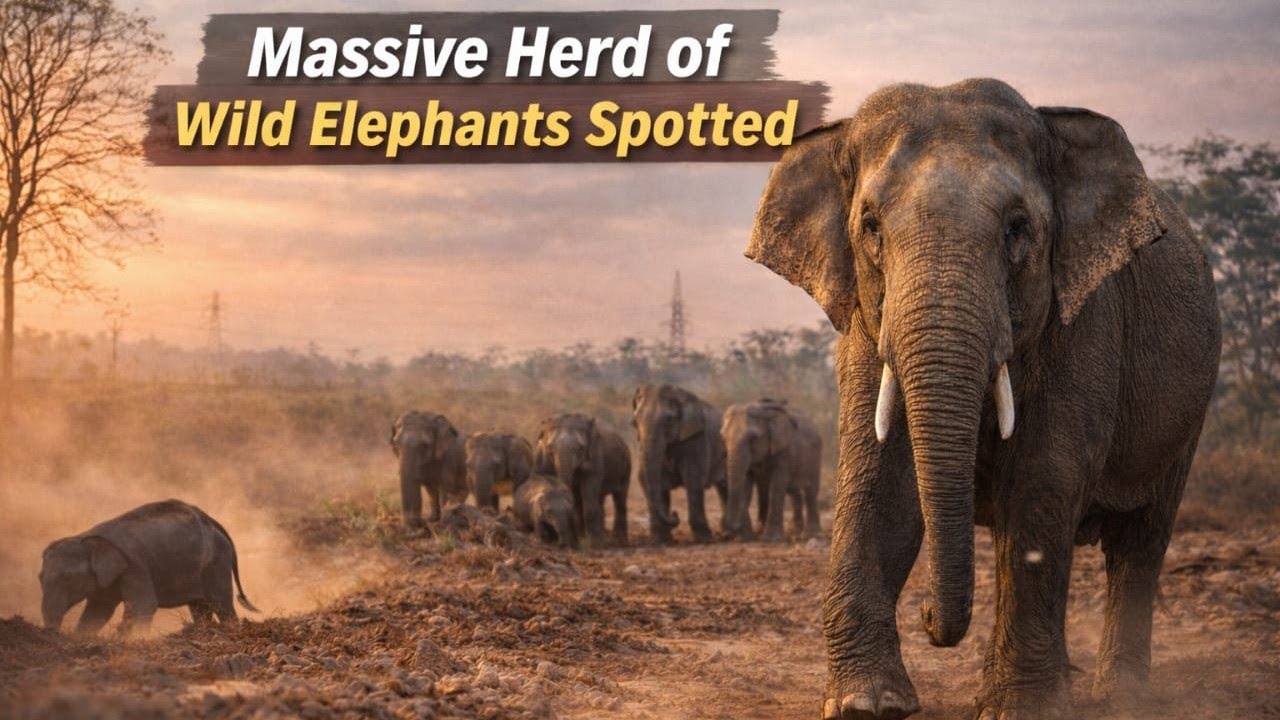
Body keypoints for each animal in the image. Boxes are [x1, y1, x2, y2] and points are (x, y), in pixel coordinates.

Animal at [39, 500, 258, 636]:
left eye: (67, 578)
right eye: (40, 578)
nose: (52, 633)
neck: (87, 537)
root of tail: (215, 523)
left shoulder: (135, 566)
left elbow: (143, 606)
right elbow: (98, 611)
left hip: (216, 563)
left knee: (221, 604)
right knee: (199, 607)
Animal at [533, 413, 631, 547]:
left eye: (580, 448)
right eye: (550, 448)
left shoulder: (595, 459)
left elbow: (589, 494)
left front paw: (595, 544)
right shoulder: (541, 459)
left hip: (627, 465)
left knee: (620, 499)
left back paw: (620, 542)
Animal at [631, 384, 727, 544]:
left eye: (669, 420)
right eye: (634, 422)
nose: (675, 514)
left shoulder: (696, 439)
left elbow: (693, 480)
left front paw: (703, 539)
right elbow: (653, 481)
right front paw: (660, 541)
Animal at [720, 399, 822, 541]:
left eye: (753, 438)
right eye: (723, 438)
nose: (734, 527)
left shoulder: (783, 452)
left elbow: (777, 485)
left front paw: (771, 538)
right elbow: (745, 483)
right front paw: (745, 537)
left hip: (815, 457)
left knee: (810, 491)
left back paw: (811, 534)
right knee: (795, 492)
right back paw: (795, 530)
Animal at [746, 79, 1220, 719]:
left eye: (1017, 229)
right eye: (870, 228)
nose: (926, 616)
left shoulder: (1087, 318)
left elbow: (1043, 480)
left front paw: (1021, 711)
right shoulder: (864, 327)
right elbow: (880, 484)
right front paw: (867, 705)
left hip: (1192, 406)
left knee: (1139, 542)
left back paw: (1121, 696)